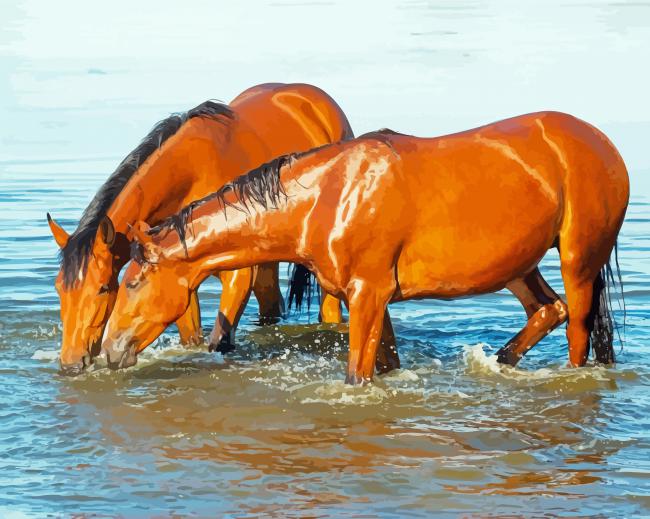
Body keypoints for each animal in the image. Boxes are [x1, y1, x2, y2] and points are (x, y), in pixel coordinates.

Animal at [48, 81, 364, 376]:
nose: (71, 363)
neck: (192, 173)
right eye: (59, 288)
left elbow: (220, 341)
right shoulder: (177, 278)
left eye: (103, 288)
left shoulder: (237, 277)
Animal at [102, 111, 628, 384]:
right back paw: (498, 362)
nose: (108, 349)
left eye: (132, 283)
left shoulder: (368, 294)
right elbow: (386, 364)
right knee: (548, 310)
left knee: (577, 334)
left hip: (578, 262)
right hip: (519, 265)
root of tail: (600, 142)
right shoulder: (374, 300)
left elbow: (358, 375)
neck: (328, 196)